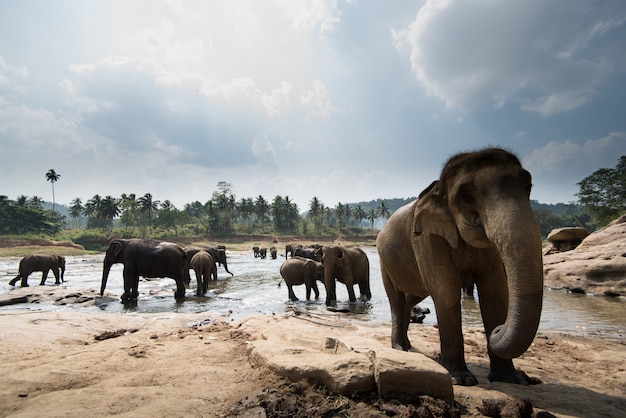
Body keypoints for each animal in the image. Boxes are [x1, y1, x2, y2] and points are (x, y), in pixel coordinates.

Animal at [376, 147, 540, 386]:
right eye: (466, 196)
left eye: (528, 186)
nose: (497, 330)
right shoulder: (426, 237)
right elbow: (446, 291)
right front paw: (461, 379)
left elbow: (494, 293)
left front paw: (511, 379)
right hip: (384, 261)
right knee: (396, 298)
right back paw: (399, 347)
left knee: (413, 296)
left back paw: (406, 344)